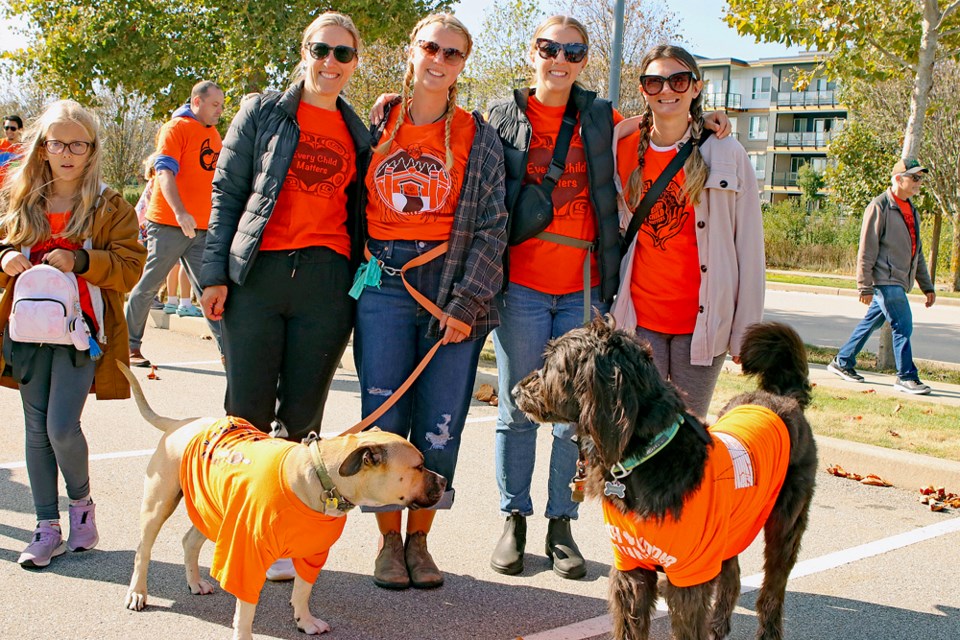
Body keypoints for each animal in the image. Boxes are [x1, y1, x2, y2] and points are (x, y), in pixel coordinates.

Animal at [119, 364, 446, 640]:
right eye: (419, 466)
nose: (443, 481)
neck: (319, 476)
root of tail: (180, 424)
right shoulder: (246, 555)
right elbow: (246, 609)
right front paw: (244, 635)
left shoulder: (312, 552)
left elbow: (303, 590)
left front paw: (305, 621)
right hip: (159, 504)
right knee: (142, 551)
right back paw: (138, 592)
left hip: (213, 509)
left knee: (189, 541)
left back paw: (195, 582)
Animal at [516, 318, 816, 640]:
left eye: (553, 364)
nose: (516, 390)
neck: (646, 456)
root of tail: (783, 397)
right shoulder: (631, 564)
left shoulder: (690, 575)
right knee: (733, 575)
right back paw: (718, 624)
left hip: (785, 527)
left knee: (772, 589)